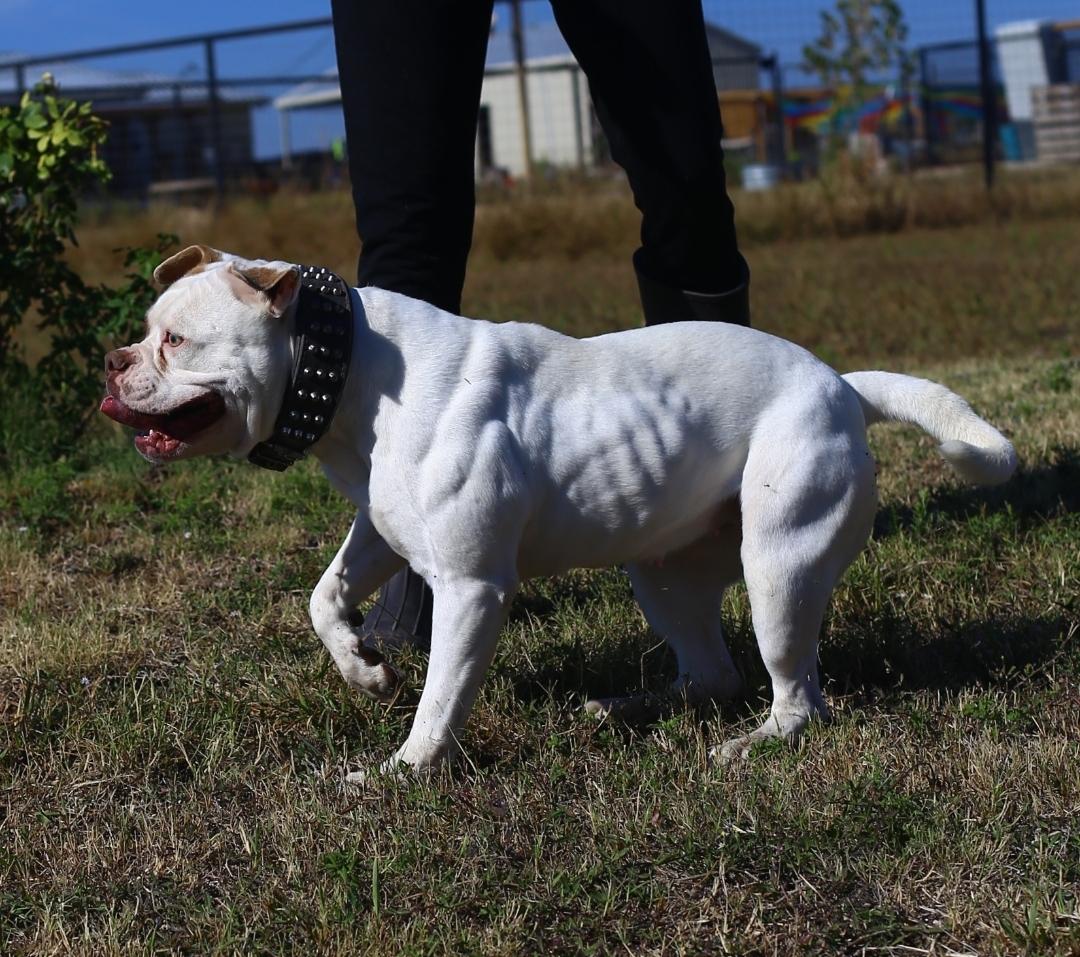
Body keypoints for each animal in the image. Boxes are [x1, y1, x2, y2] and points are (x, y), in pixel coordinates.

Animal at [99, 247, 1010, 777]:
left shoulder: (471, 588)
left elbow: (441, 695)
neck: (350, 369)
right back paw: (626, 708)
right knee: (711, 672)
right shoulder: (383, 531)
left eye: (175, 340)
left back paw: (752, 743)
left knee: (797, 697)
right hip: (662, 575)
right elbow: (323, 597)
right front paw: (362, 666)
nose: (113, 360)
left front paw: (407, 770)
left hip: (779, 566)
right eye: (145, 330)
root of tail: (843, 386)